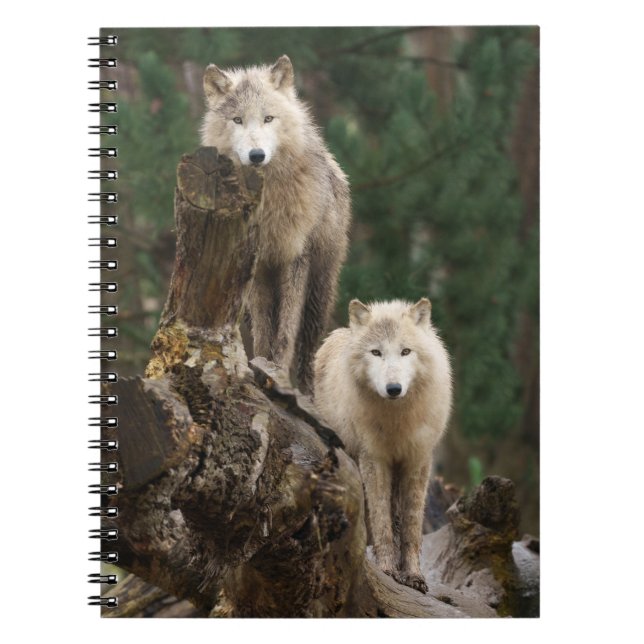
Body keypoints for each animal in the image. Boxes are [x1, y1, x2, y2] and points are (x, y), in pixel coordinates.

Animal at [201, 55, 351, 392]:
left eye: (268, 118)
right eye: (238, 120)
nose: (256, 155)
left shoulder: (296, 257)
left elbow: (286, 331)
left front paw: (278, 372)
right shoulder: (258, 266)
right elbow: (263, 329)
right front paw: (261, 367)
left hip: (319, 290)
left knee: (309, 345)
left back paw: (308, 393)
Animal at [313, 298, 452, 593]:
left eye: (405, 351)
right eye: (376, 352)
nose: (393, 388)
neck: (397, 421)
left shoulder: (417, 460)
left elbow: (411, 526)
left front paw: (413, 576)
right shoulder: (374, 459)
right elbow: (380, 520)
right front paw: (388, 569)